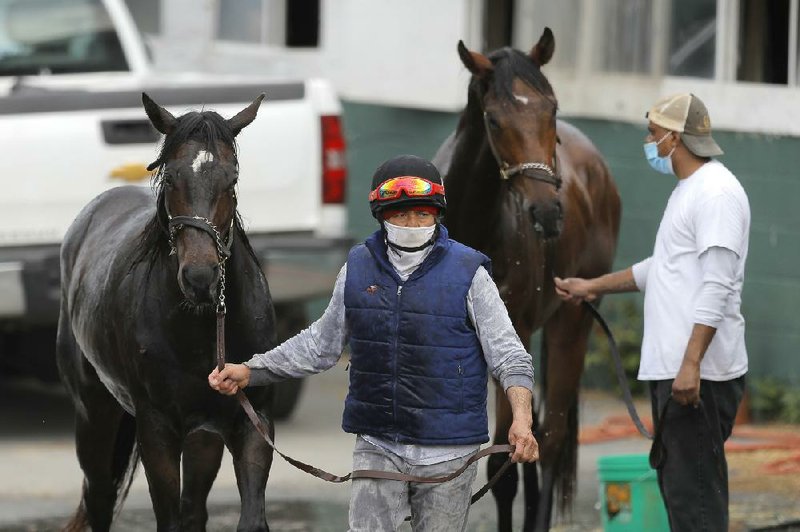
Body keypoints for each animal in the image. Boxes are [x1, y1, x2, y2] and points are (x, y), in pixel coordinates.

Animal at [55, 93, 276, 528]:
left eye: (232, 180)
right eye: (171, 178)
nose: (200, 277)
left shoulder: (251, 421)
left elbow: (248, 516)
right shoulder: (156, 430)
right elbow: (167, 517)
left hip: (202, 435)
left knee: (193, 509)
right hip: (93, 411)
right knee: (99, 495)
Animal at [434, 29, 620, 532]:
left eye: (551, 109)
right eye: (494, 120)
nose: (548, 213)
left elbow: (506, 459)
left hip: (572, 321)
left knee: (550, 437)